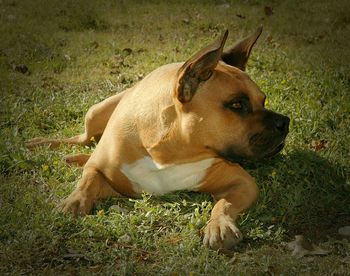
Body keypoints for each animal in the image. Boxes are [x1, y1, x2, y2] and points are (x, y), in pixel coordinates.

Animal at [26, 27, 290, 250]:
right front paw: (74, 202)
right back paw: (44, 145)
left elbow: (223, 204)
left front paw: (219, 225)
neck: (171, 152)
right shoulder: (103, 172)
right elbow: (87, 180)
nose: (285, 123)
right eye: (236, 105)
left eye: (263, 100)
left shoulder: (242, 183)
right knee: (83, 139)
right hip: (96, 111)